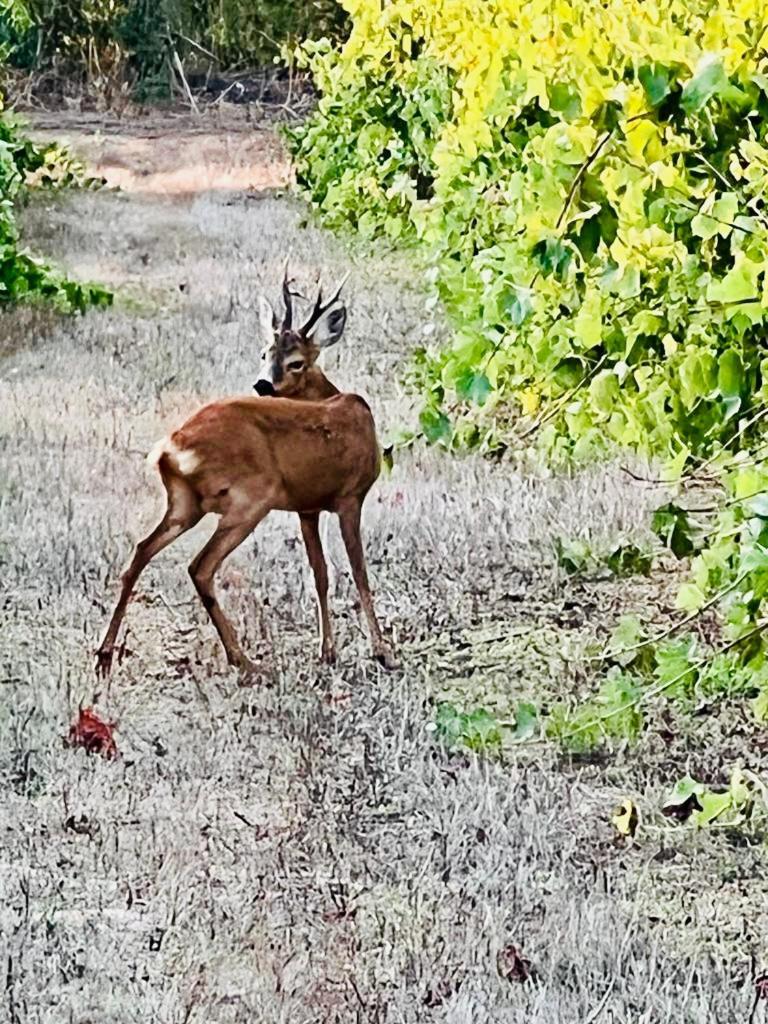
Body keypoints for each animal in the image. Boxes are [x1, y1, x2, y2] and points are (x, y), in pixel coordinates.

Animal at [95, 268, 397, 679]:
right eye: (264, 353)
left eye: (295, 361)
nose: (262, 384)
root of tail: (169, 448)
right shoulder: (350, 496)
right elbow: (359, 572)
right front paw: (382, 652)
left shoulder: (307, 507)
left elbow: (320, 573)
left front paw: (328, 651)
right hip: (251, 498)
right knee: (200, 567)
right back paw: (244, 660)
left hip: (184, 503)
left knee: (140, 552)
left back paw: (104, 654)